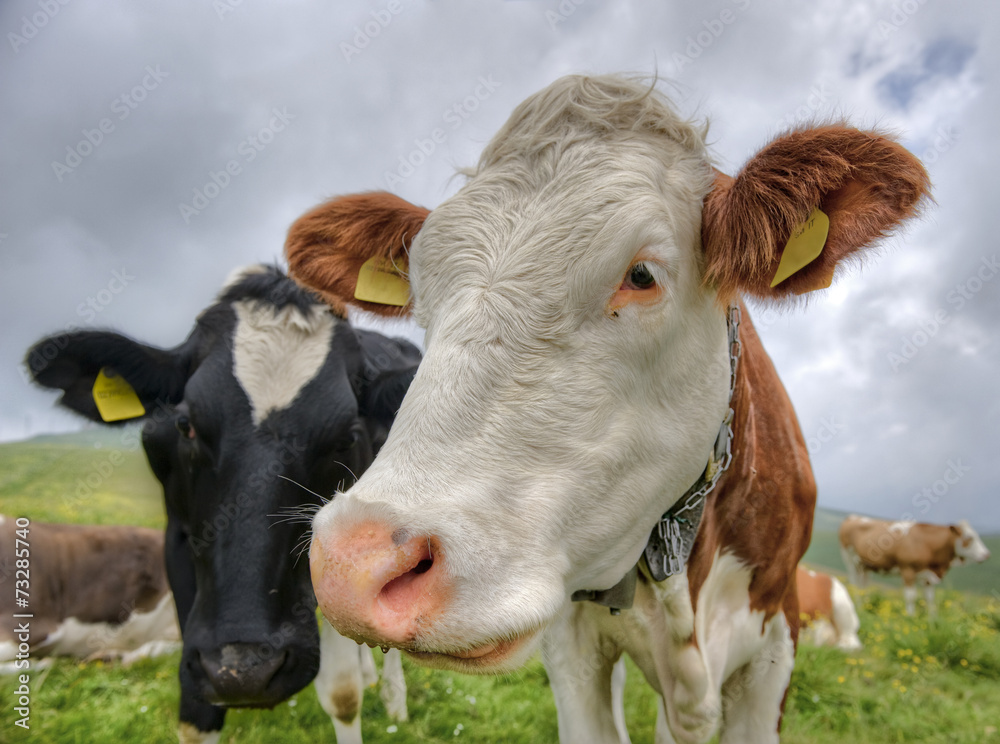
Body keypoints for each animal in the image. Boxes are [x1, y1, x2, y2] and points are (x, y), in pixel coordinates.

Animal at [25, 266, 420, 744]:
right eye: (185, 424)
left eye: (347, 436)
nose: (246, 670)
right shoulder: (177, 536)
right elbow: (196, 711)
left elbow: (342, 694)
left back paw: (395, 696)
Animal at [840, 516, 988, 612]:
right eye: (969, 538)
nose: (986, 554)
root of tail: (853, 517)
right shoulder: (907, 570)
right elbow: (911, 597)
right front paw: (910, 617)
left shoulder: (928, 575)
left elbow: (930, 599)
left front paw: (932, 622)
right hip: (850, 560)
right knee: (854, 584)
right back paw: (857, 607)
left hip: (864, 566)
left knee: (863, 587)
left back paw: (865, 606)